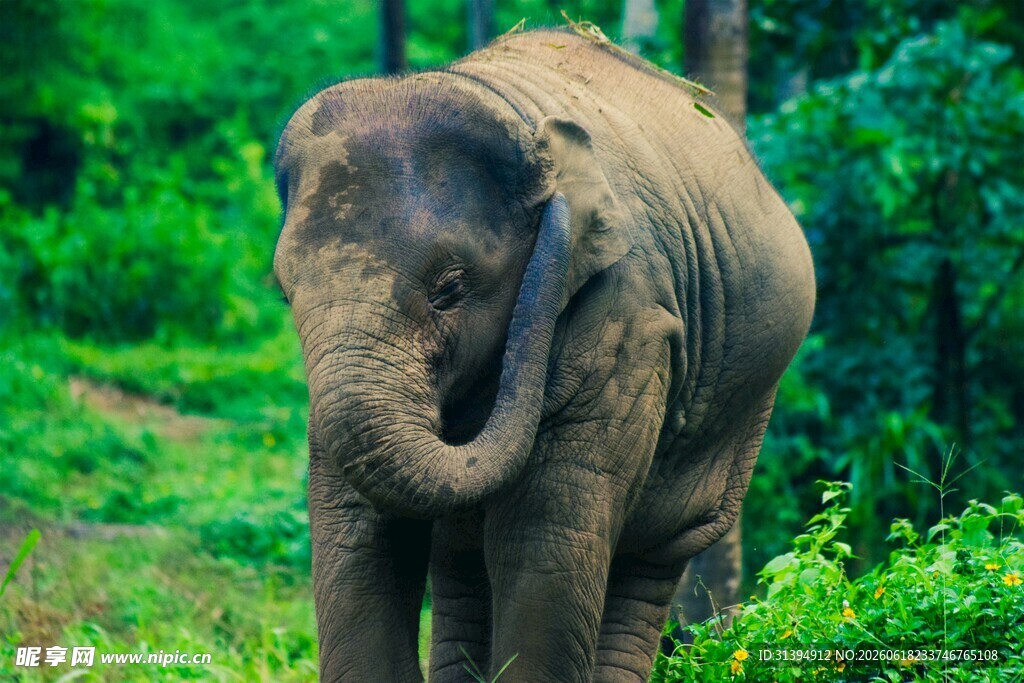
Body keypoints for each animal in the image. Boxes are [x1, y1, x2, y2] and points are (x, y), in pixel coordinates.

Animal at [272, 27, 815, 683]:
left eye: (449, 288)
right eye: (285, 293)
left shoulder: (626, 324)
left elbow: (543, 535)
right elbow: (356, 530)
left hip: (731, 429)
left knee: (648, 561)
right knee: (462, 559)